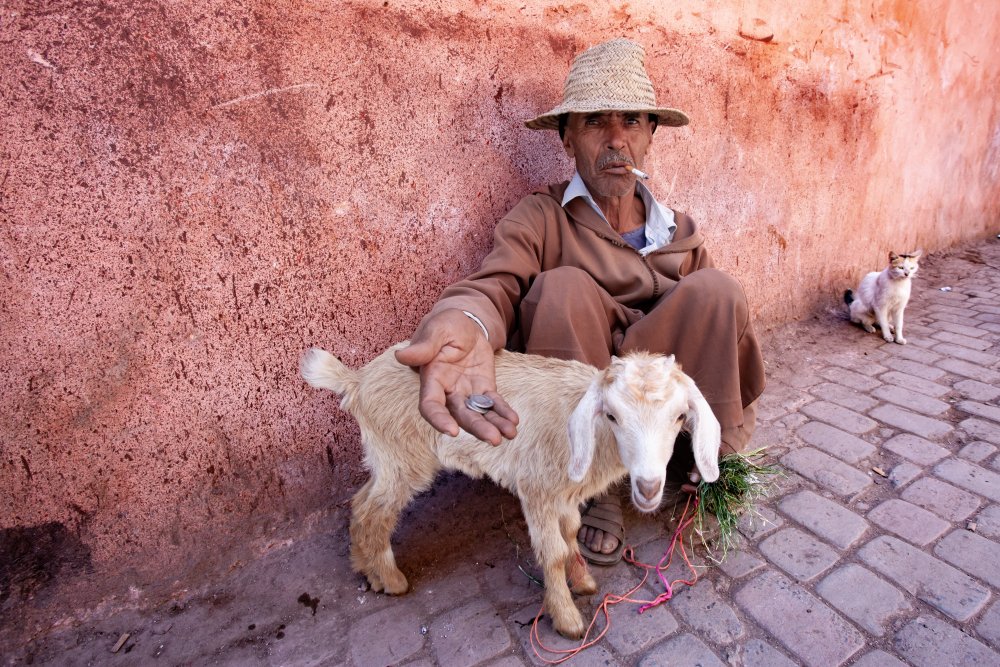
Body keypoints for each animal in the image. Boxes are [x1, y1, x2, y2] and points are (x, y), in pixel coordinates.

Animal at [300, 343, 721, 638]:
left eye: (680, 417)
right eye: (613, 415)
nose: (649, 487)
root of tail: (355, 381)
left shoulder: (563, 493)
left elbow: (571, 535)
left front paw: (583, 581)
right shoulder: (537, 487)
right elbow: (553, 552)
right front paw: (567, 617)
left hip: (385, 456)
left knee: (360, 502)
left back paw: (364, 567)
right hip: (403, 457)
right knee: (375, 511)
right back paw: (390, 579)